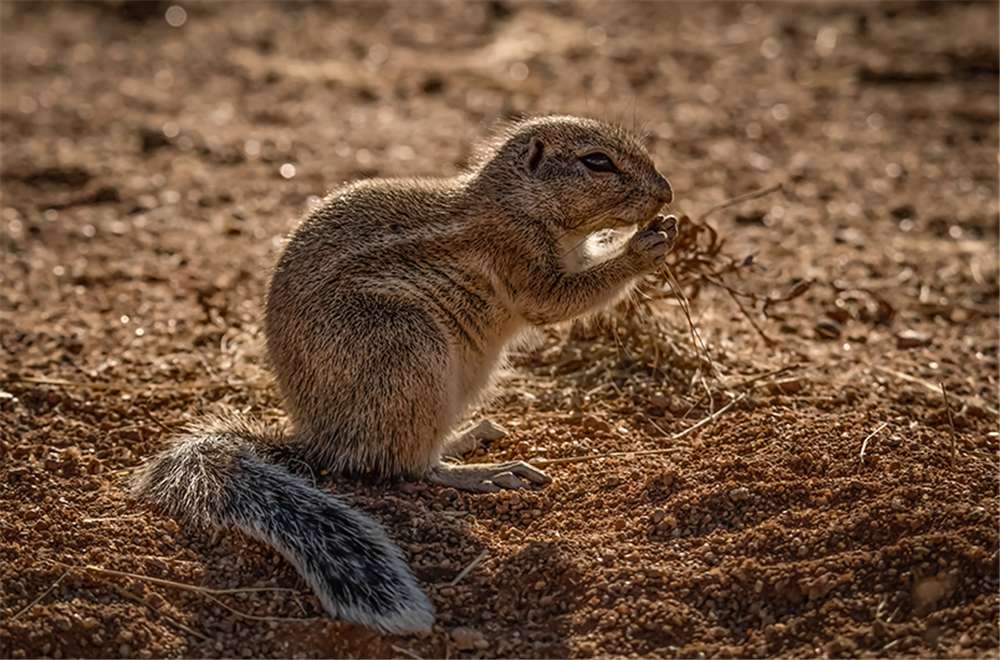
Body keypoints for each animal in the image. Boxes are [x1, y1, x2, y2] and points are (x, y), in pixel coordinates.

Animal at [133, 114, 676, 636]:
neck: (517, 204)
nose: (666, 193)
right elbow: (558, 299)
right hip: (410, 348)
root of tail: (321, 441)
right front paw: (643, 248)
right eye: (597, 161)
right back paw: (479, 472)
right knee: (409, 466)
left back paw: (466, 436)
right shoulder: (515, 255)